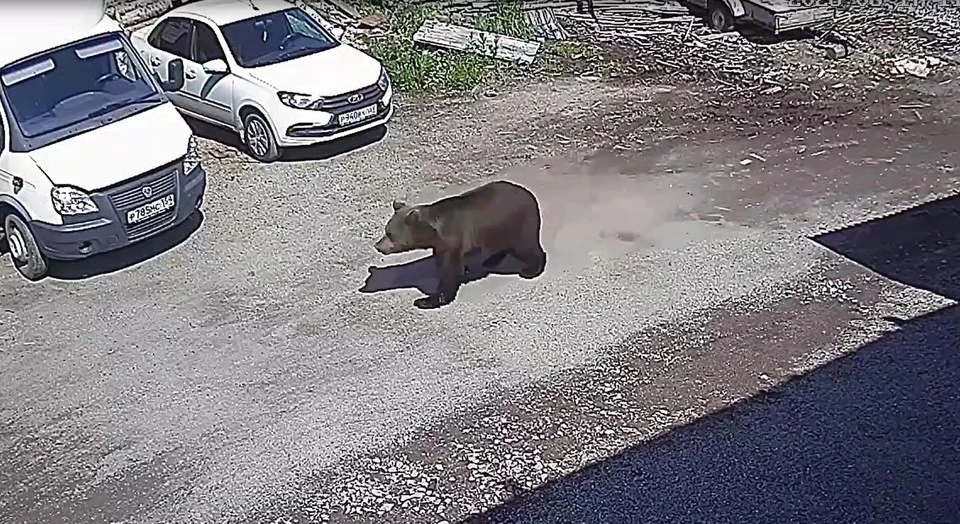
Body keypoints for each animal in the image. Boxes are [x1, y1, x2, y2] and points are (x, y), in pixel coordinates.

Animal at [373, 180, 547, 310]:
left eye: (390, 233)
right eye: (386, 230)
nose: (377, 245)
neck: (434, 233)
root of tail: (530, 194)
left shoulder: (453, 240)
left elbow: (449, 271)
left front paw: (426, 300)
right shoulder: (441, 245)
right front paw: (466, 269)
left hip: (517, 224)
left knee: (526, 247)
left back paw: (530, 269)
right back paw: (491, 259)